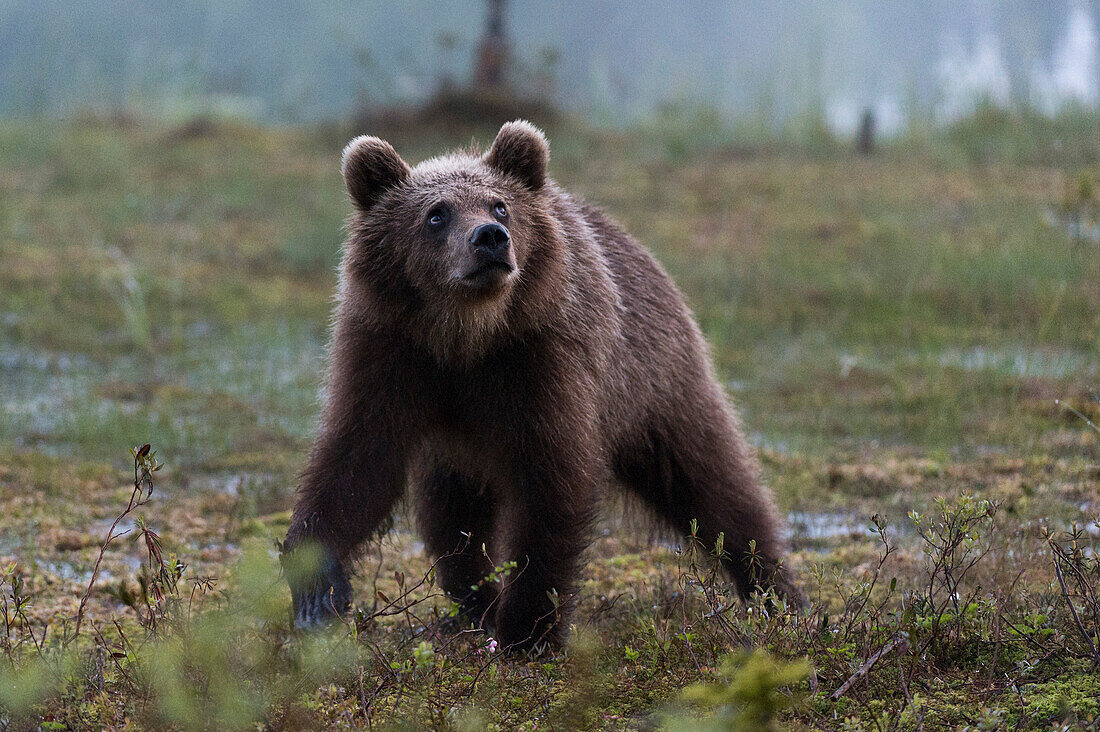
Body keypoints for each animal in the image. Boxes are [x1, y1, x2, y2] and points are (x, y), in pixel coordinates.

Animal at [279, 119, 805, 651]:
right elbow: (358, 463)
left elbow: (551, 481)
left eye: (500, 205)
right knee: (450, 516)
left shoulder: (541, 360)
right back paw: (474, 604)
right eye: (436, 214)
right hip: (454, 451)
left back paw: (778, 594)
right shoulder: (391, 354)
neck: (465, 338)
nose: (490, 238)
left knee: (712, 482)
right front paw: (318, 592)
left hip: (656, 383)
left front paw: (528, 627)